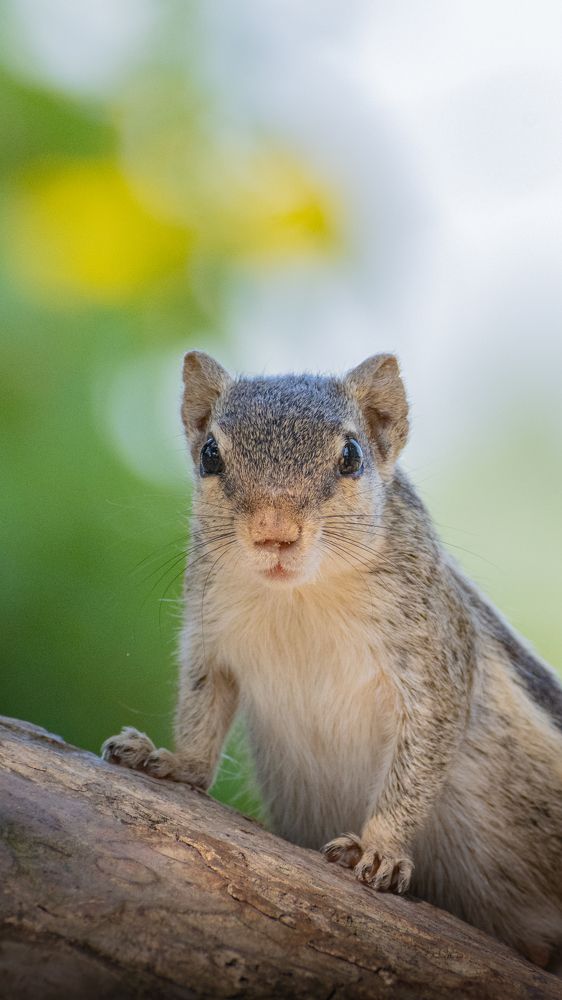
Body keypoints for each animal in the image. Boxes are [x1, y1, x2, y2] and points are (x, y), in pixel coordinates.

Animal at [102, 350, 562, 969]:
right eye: (209, 454)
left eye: (352, 456)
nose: (274, 533)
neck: (300, 598)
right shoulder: (209, 640)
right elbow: (203, 709)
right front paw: (174, 761)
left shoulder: (435, 661)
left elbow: (419, 761)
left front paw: (380, 847)